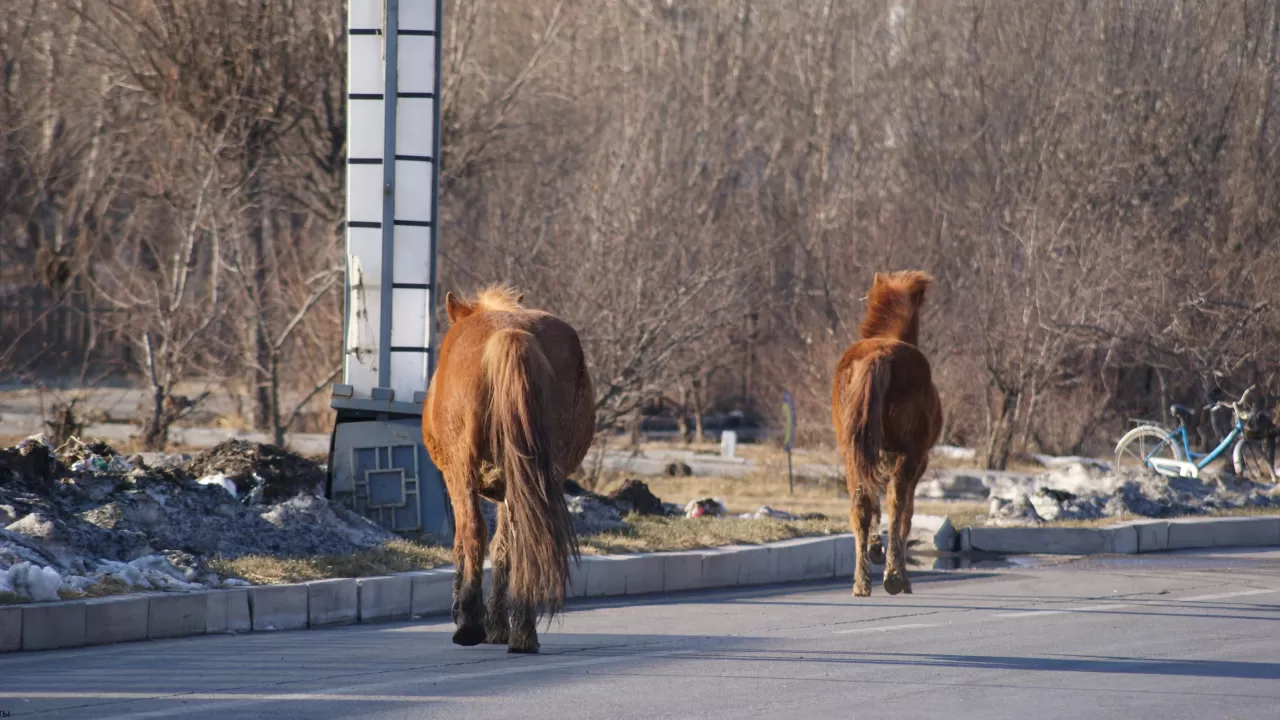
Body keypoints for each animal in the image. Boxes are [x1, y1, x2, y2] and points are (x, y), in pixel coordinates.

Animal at [424, 284, 593, 650]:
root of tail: (510, 334)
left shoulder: (457, 475)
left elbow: (469, 540)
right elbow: (504, 547)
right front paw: (500, 623)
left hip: (462, 468)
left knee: (473, 530)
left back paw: (469, 623)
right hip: (536, 474)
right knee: (527, 540)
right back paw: (523, 632)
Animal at [834, 269, 947, 594]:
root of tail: (880, 355)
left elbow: (872, 504)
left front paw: (874, 548)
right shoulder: (917, 461)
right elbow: (905, 514)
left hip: (852, 452)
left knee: (860, 503)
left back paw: (861, 583)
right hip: (910, 454)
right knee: (897, 501)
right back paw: (895, 577)